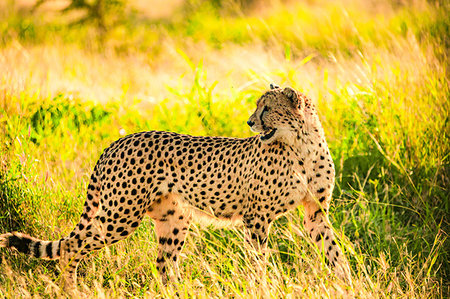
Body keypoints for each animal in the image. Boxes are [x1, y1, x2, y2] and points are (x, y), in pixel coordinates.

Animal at [0, 84, 352, 290]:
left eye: (267, 108)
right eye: (258, 107)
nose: (250, 122)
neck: (302, 144)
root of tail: (118, 140)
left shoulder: (315, 212)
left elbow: (334, 251)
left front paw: (347, 282)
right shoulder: (257, 217)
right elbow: (259, 260)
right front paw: (262, 287)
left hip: (173, 218)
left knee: (163, 264)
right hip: (119, 217)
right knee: (72, 247)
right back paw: (70, 289)